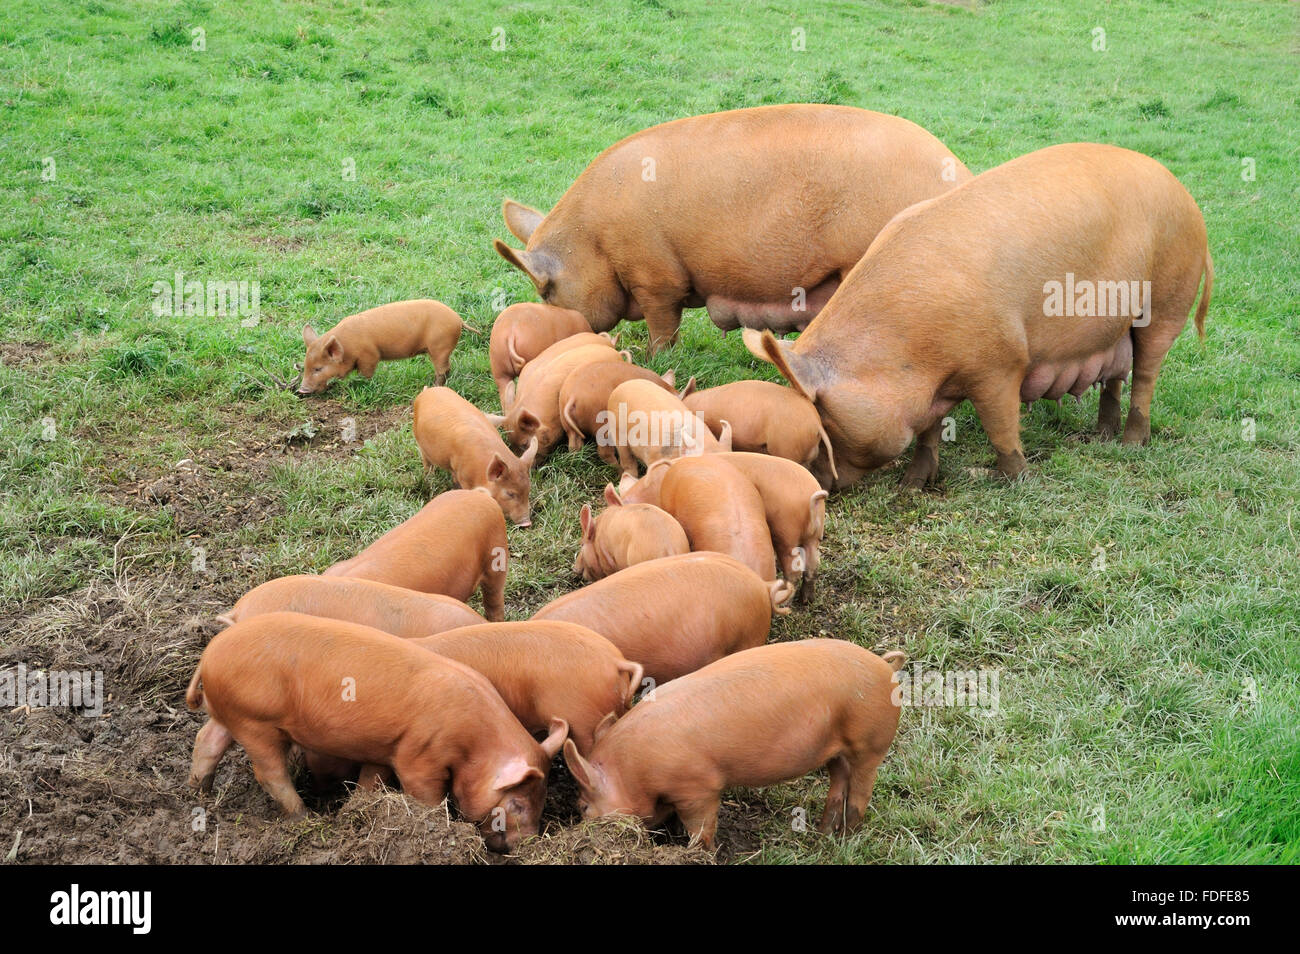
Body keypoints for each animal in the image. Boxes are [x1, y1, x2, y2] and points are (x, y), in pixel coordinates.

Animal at [491, 105, 972, 350]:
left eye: (546, 291)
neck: (595, 240)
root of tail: (961, 175)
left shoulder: (655, 275)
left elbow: (664, 327)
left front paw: (652, 358)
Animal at [564, 639, 909, 847]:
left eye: (583, 806)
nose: (582, 828)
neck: (633, 769)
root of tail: (885, 666)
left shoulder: (698, 787)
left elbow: (702, 827)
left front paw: (696, 851)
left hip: (871, 743)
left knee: (861, 792)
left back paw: (847, 838)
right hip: (836, 751)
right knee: (838, 784)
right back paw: (824, 835)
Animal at [748, 143, 1211, 486]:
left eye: (822, 423)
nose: (812, 481)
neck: (908, 350)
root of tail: (1187, 198)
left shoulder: (1001, 363)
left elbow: (1000, 427)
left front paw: (1010, 479)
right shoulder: (934, 388)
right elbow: (929, 432)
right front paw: (913, 486)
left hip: (1167, 299)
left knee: (1147, 374)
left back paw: (1132, 444)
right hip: (1119, 325)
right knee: (1117, 372)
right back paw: (1101, 437)